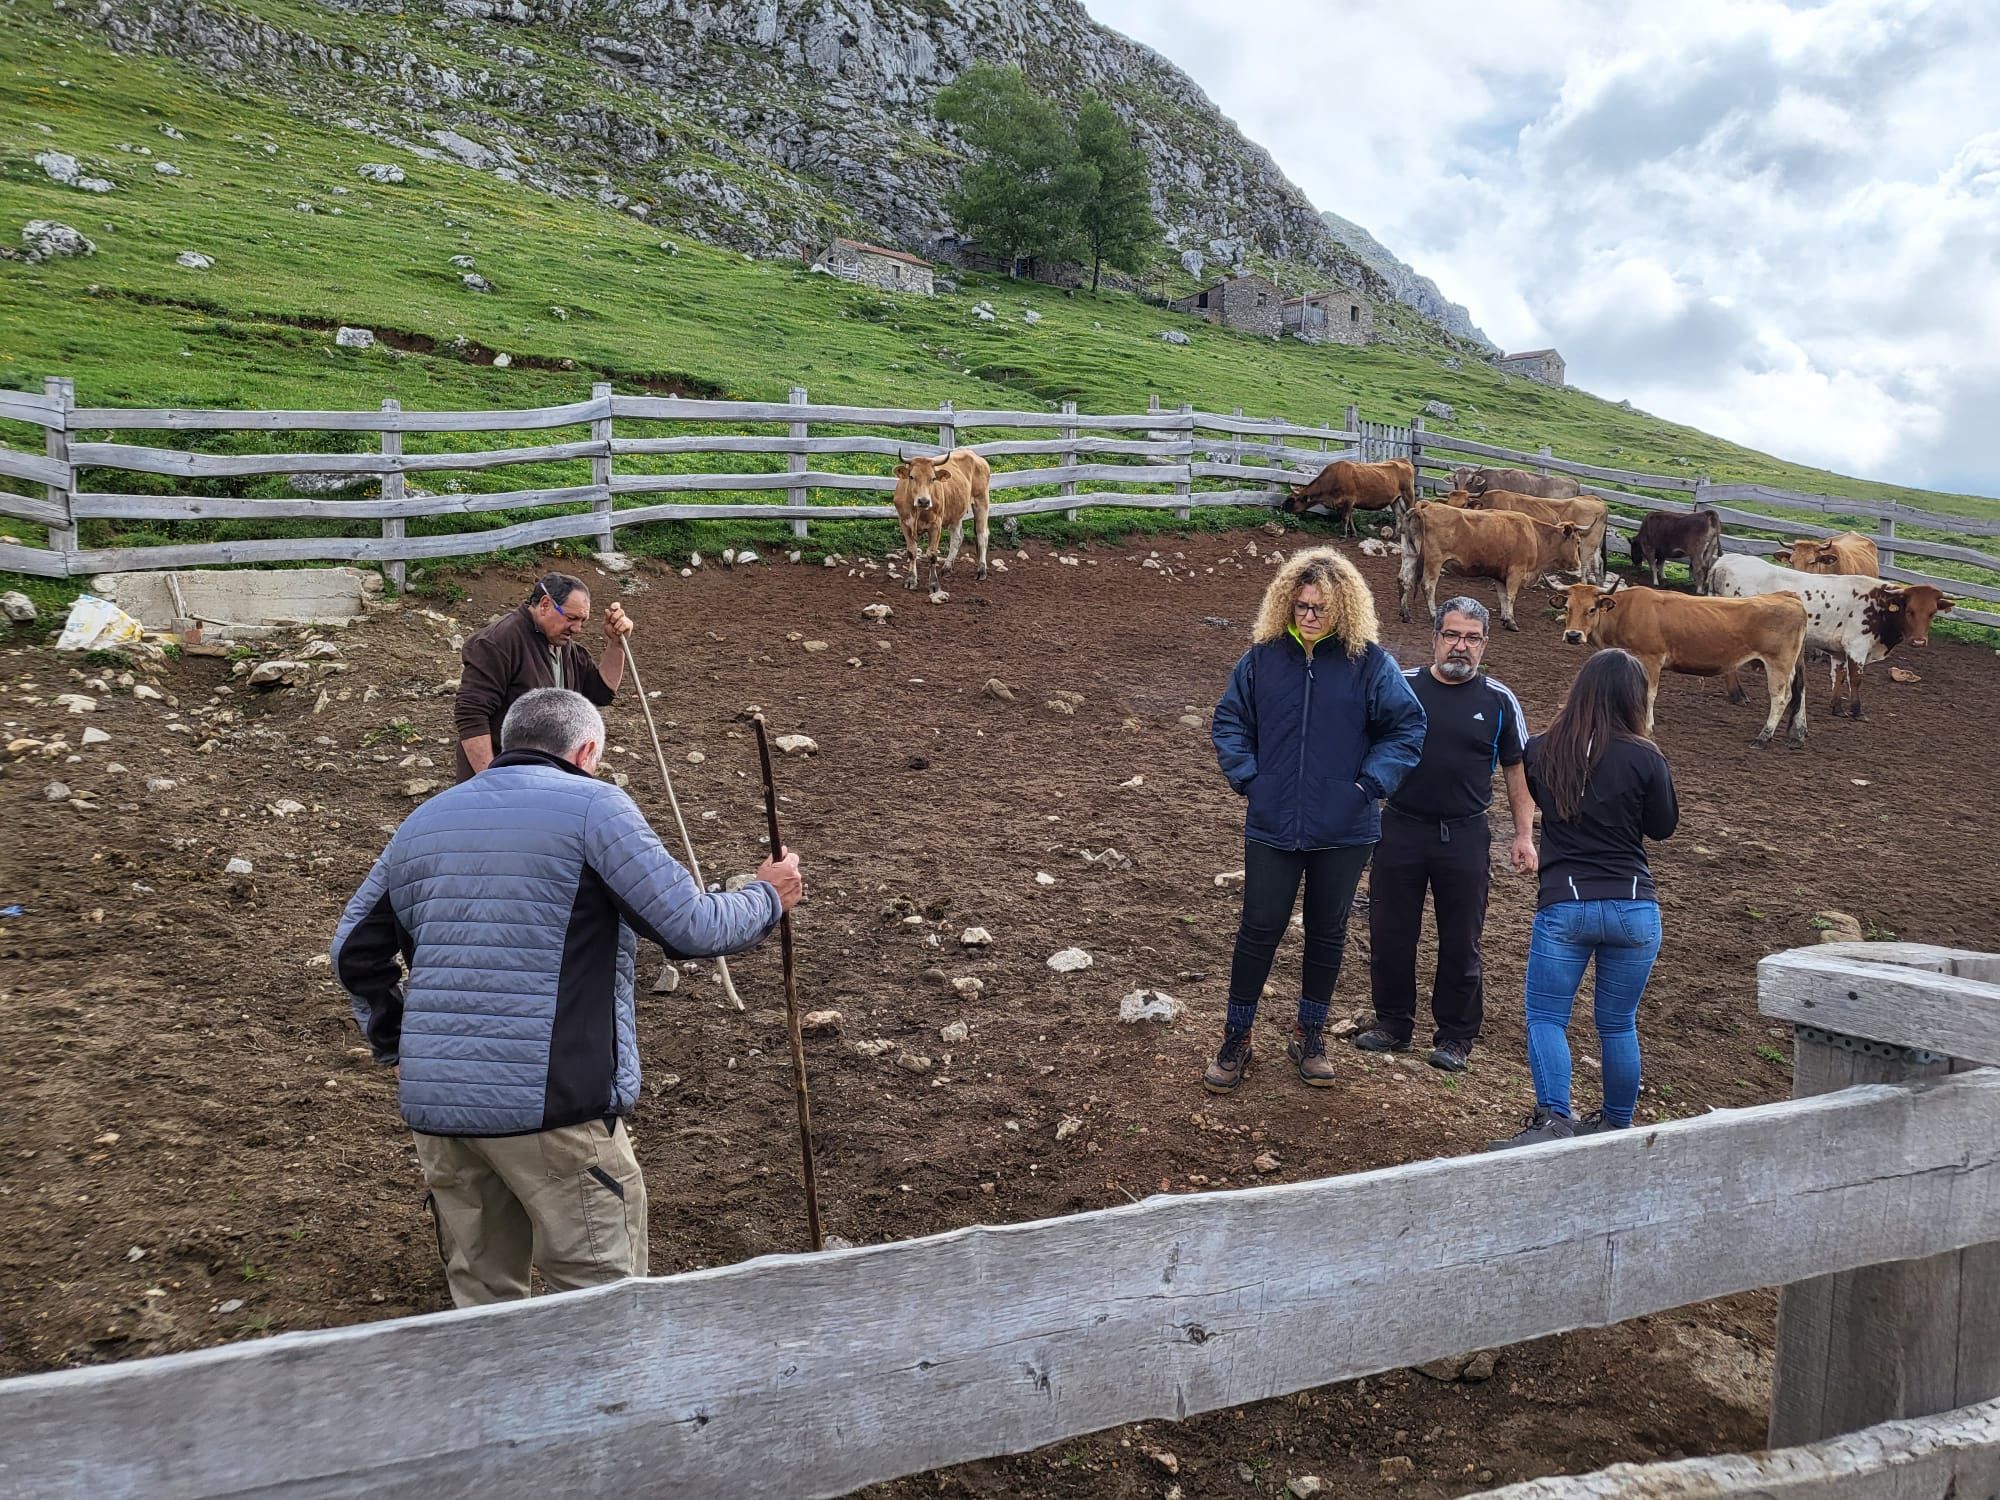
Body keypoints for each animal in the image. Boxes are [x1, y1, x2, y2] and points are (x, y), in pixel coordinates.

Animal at [892, 450, 992, 596]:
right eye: (911, 477)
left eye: (933, 478)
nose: (924, 501)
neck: (917, 511)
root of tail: (973, 454)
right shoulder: (904, 523)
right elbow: (911, 552)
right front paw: (911, 580)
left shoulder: (935, 525)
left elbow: (932, 555)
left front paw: (934, 584)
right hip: (956, 511)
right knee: (957, 538)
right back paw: (947, 568)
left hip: (982, 501)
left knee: (982, 535)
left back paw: (981, 570)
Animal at [1288, 462, 1416, 536]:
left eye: (1292, 500)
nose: (1284, 507)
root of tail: (1404, 462)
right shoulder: (1347, 503)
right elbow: (1350, 518)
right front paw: (1353, 533)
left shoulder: (1349, 500)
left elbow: (1345, 517)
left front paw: (1344, 534)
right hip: (1395, 499)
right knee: (1399, 515)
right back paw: (1397, 535)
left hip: (1408, 494)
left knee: (1411, 512)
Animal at [1400, 500, 1584, 628]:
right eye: (1577, 542)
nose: (1577, 564)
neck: (1535, 535)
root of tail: (1425, 505)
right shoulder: (1516, 572)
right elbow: (1511, 596)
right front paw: (1511, 621)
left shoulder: (1500, 574)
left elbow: (1503, 596)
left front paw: (1504, 617)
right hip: (1434, 561)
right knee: (1428, 586)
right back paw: (1432, 615)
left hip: (1410, 554)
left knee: (1404, 580)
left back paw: (1406, 615)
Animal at [1440, 494, 1608, 588]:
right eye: (1448, 502)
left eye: (1464, 504)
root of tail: (1597, 501)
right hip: (1595, 546)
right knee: (1597, 562)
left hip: (1587, 546)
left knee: (1585, 565)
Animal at [1560, 588, 1816, 752]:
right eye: (1567, 607)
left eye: (1591, 609)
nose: (1573, 635)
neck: (1625, 612)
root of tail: (1788, 597)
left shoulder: (1651, 657)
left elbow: (1649, 693)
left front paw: (1647, 726)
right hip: (1791, 664)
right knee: (1800, 692)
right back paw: (1798, 735)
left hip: (1778, 663)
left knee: (1781, 698)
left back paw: (1763, 737)